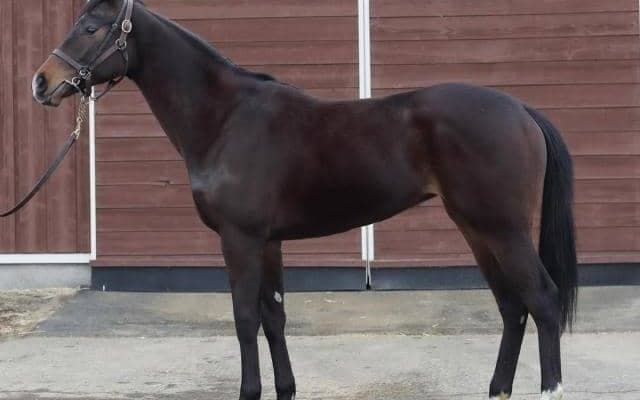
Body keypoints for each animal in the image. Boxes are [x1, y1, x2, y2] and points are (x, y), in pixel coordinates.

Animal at [32, 1, 577, 399]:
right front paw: (285, 389)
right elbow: (274, 317)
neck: (226, 118)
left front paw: (249, 391)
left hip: (503, 229)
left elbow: (245, 318)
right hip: (476, 229)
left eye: (90, 26)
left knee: (543, 301)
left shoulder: (240, 240)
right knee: (512, 306)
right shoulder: (269, 242)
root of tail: (521, 109)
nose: (41, 82)